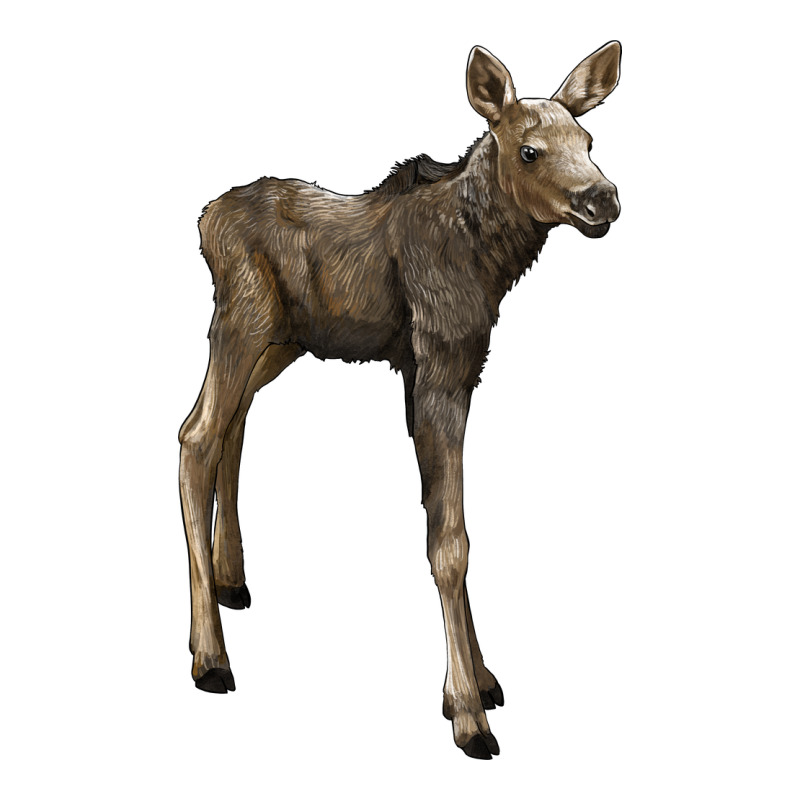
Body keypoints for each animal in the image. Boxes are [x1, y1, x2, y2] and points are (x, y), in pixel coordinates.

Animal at [179, 42, 622, 759]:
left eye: (587, 140)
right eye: (529, 150)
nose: (602, 197)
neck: (487, 261)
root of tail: (204, 217)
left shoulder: (453, 370)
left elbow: (447, 520)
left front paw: (479, 682)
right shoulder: (438, 364)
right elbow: (450, 540)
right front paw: (468, 713)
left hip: (282, 340)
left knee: (231, 425)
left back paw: (230, 581)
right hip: (243, 319)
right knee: (195, 435)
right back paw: (210, 657)